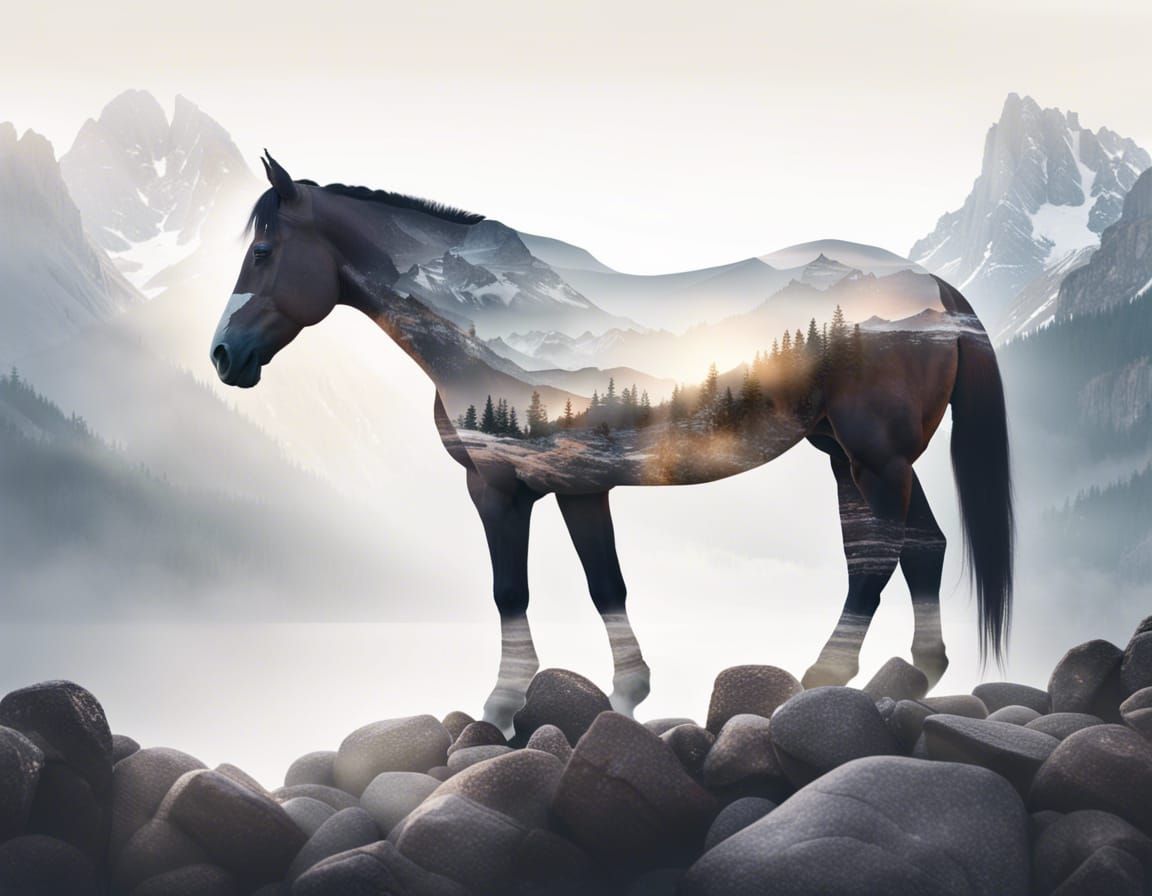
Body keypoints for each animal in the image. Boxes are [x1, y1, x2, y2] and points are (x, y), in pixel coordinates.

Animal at [211, 152, 1013, 734]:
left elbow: (511, 590)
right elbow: (605, 583)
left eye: (264, 251)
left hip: (874, 459)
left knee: (877, 562)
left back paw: (826, 677)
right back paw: (915, 674)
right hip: (854, 458)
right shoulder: (576, 487)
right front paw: (628, 690)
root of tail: (933, 288)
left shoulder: (496, 487)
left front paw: (503, 704)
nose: (223, 355)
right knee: (921, 548)